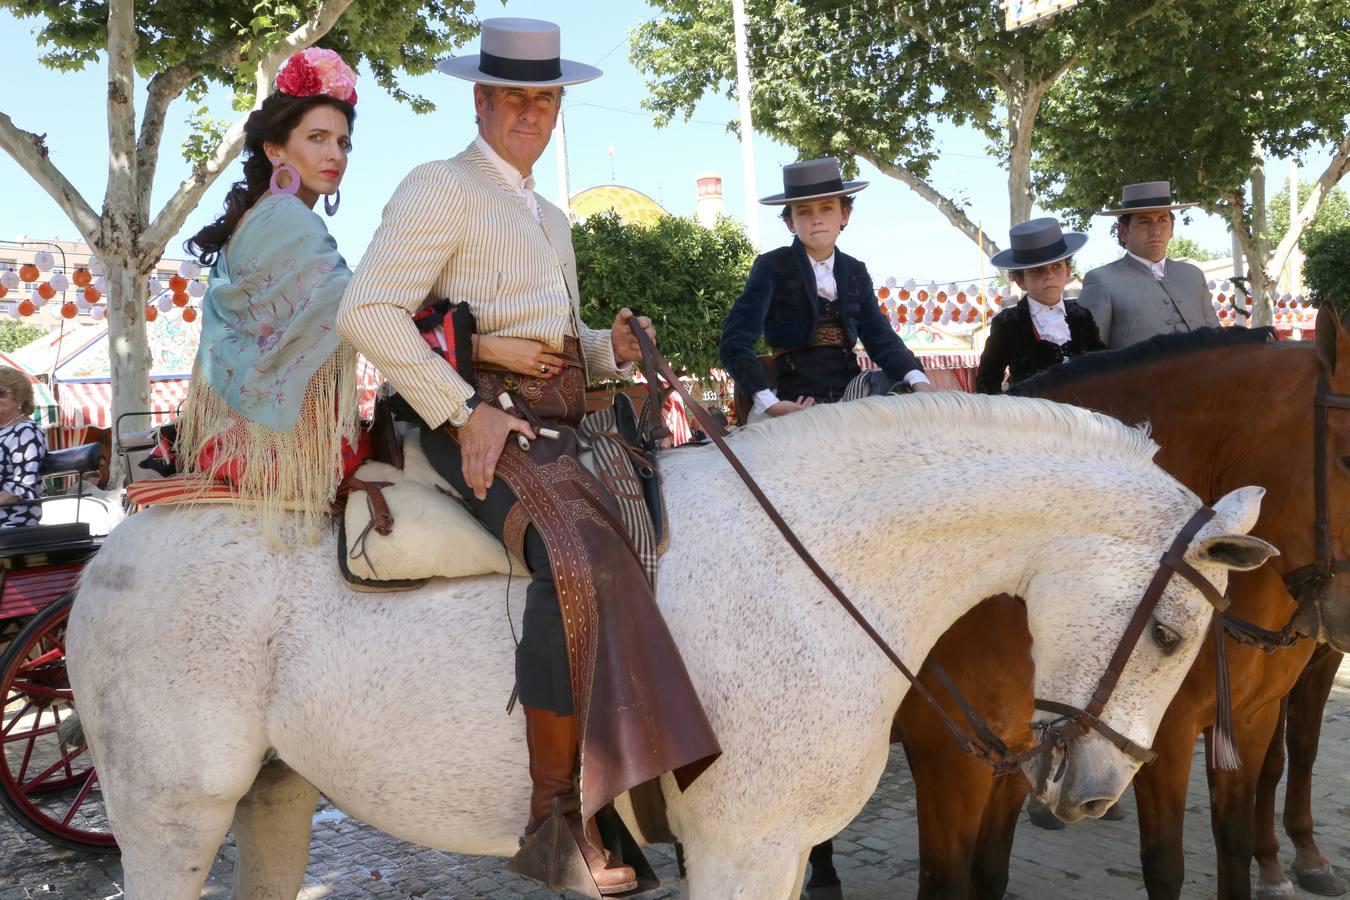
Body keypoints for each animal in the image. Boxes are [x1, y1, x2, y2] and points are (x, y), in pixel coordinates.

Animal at [68, 396, 1274, 900]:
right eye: (1172, 632)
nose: (1093, 790)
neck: (816, 571)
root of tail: (118, 537)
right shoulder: (745, 850)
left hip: (275, 793)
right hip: (172, 816)